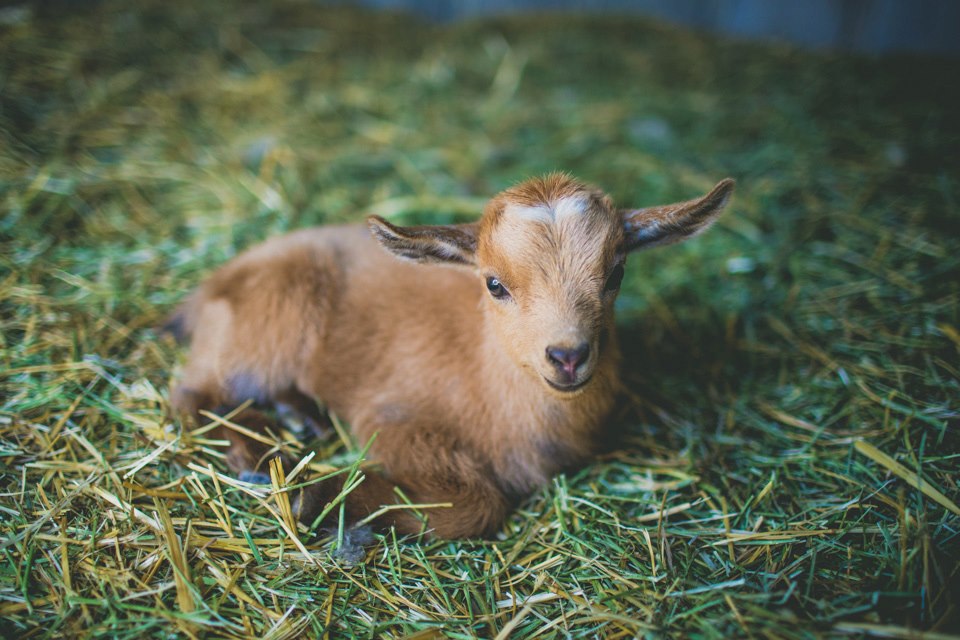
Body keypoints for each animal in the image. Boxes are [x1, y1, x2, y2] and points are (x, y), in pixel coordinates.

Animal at [167, 172, 736, 536]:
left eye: (616, 273)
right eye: (494, 283)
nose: (568, 355)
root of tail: (204, 293)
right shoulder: (395, 419)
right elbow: (476, 504)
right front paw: (317, 494)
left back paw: (298, 417)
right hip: (263, 324)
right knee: (194, 396)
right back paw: (259, 456)